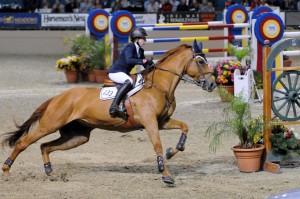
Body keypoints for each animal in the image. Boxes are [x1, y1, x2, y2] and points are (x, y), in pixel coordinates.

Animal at [0, 39, 216, 184]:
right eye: (200, 61)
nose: (212, 84)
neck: (159, 86)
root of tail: (58, 97)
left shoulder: (162, 121)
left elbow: (184, 128)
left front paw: (174, 151)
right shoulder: (150, 122)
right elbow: (157, 146)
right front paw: (166, 175)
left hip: (77, 136)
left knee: (45, 146)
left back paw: (50, 172)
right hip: (50, 124)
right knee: (23, 142)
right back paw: (7, 169)